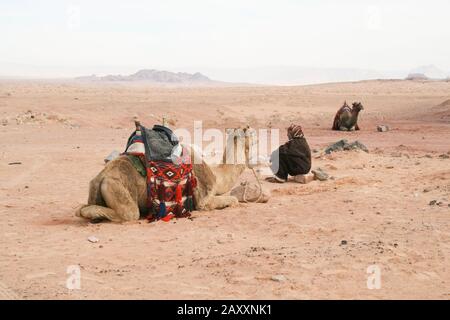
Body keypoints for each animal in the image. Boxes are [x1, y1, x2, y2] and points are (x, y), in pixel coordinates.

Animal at [75, 126, 255, 221]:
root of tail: (99, 178)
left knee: (82, 208)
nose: (253, 131)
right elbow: (232, 200)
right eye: (251, 135)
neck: (217, 175)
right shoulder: (204, 199)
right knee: (130, 214)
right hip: (114, 186)